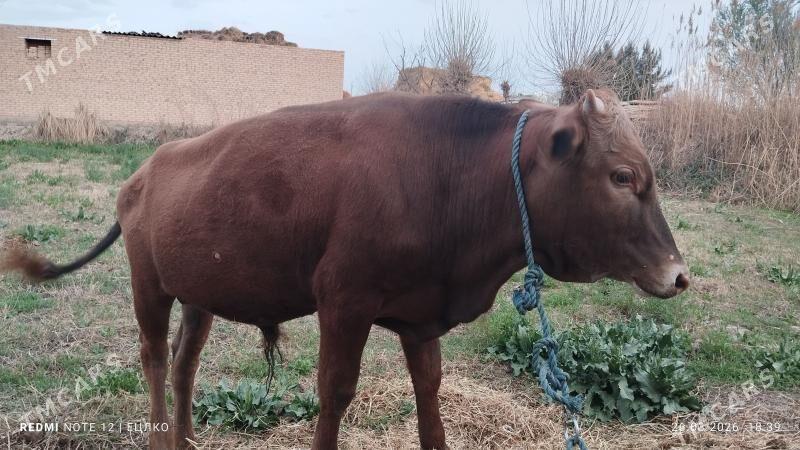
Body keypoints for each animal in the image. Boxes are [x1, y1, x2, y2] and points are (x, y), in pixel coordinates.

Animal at [3, 89, 689, 449]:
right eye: (622, 176)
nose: (679, 274)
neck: (450, 173)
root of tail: (146, 167)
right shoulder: (343, 302)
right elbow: (334, 391)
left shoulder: (420, 315)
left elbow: (429, 393)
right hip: (148, 285)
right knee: (150, 357)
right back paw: (156, 436)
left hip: (198, 293)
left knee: (181, 365)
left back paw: (186, 438)